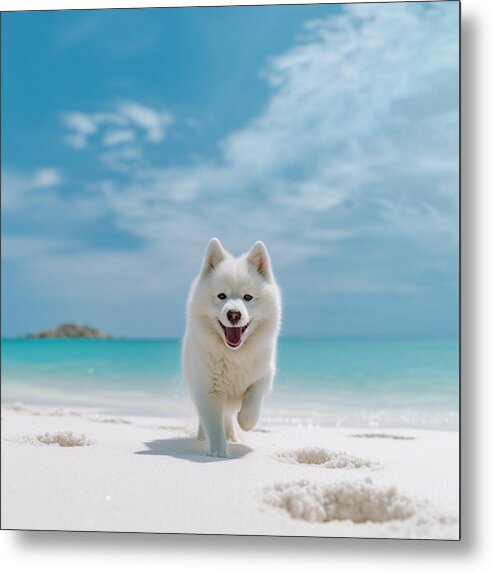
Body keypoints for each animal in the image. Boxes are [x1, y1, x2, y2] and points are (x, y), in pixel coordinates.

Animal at [182, 239, 282, 458]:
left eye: (248, 297)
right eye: (221, 296)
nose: (234, 314)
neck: (234, 354)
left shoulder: (265, 374)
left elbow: (254, 398)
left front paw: (245, 421)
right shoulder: (209, 389)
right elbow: (214, 424)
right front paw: (219, 452)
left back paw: (234, 436)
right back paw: (203, 436)